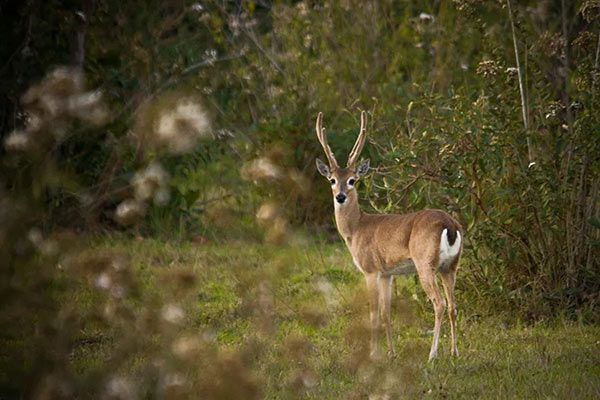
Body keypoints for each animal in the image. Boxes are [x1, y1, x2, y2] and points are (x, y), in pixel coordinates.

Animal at [314, 111, 464, 360]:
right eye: (332, 180)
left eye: (352, 180)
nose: (340, 196)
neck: (356, 228)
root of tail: (450, 225)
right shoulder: (387, 274)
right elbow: (386, 312)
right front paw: (391, 353)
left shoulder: (370, 269)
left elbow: (374, 313)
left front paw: (373, 354)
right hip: (450, 266)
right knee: (453, 305)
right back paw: (454, 352)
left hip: (425, 263)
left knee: (440, 304)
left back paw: (432, 354)